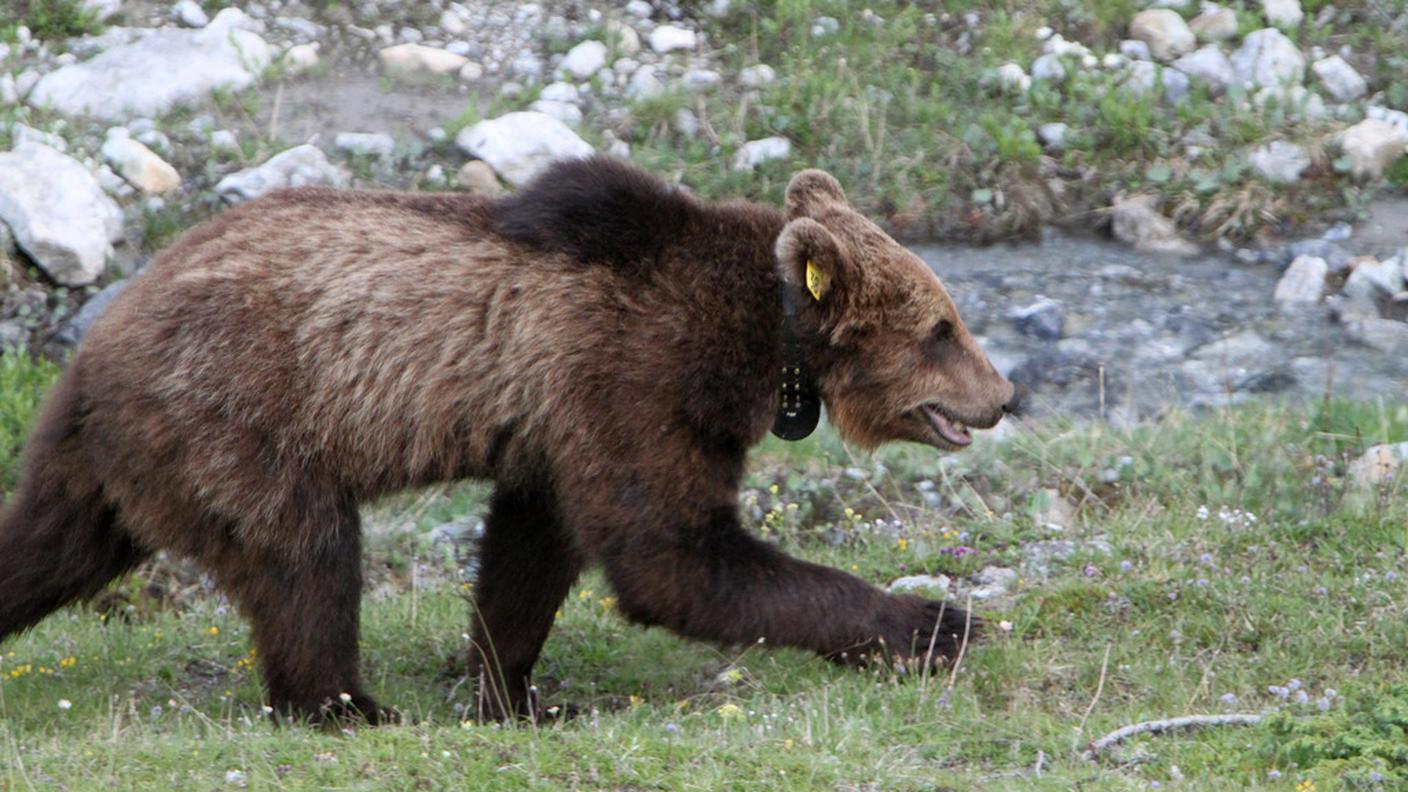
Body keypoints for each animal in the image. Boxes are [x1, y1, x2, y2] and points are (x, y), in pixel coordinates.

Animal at [0, 156, 1015, 724]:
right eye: (942, 327)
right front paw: (935, 624)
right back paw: (348, 705)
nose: (1002, 395)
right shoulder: (635, 373)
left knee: (45, 546)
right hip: (237, 417)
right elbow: (674, 558)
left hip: (109, 461)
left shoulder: (556, 422)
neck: (759, 342)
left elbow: (532, 552)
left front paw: (518, 692)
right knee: (305, 559)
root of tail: (99, 341)